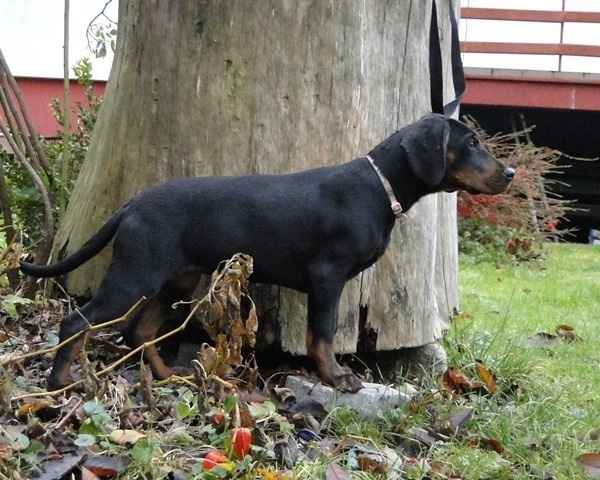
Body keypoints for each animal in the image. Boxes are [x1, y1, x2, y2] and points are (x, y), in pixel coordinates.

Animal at [19, 113, 516, 394]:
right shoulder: (327, 277)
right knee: (78, 322)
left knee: (139, 330)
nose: (510, 173)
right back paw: (60, 382)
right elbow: (322, 334)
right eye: (470, 144)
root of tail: (132, 205)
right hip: (135, 275)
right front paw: (336, 378)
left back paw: (166, 376)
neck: (381, 187)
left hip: (176, 279)